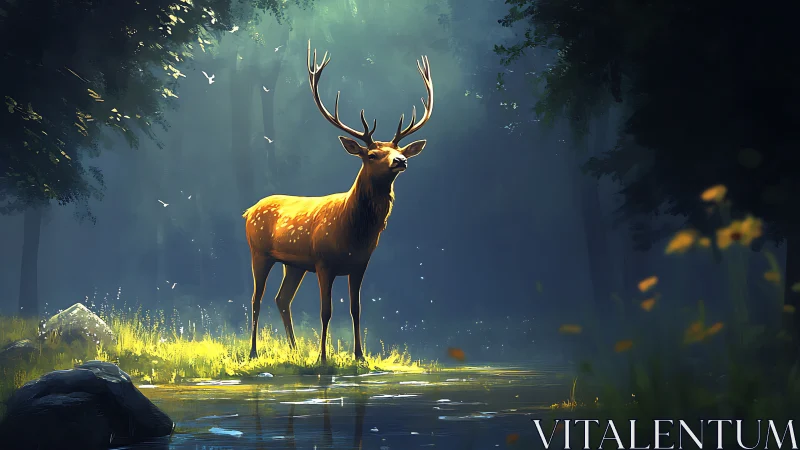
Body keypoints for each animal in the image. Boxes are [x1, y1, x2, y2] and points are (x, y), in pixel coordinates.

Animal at [243, 40, 434, 364]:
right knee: (256, 298)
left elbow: (356, 310)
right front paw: (322, 357)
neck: (352, 231)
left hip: (293, 264)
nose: (401, 160)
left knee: (282, 299)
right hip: (260, 251)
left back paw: (295, 352)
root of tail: (247, 211)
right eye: (372, 154)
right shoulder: (324, 262)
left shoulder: (360, 264)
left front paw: (360, 356)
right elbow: (326, 311)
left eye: (397, 149)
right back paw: (254, 352)